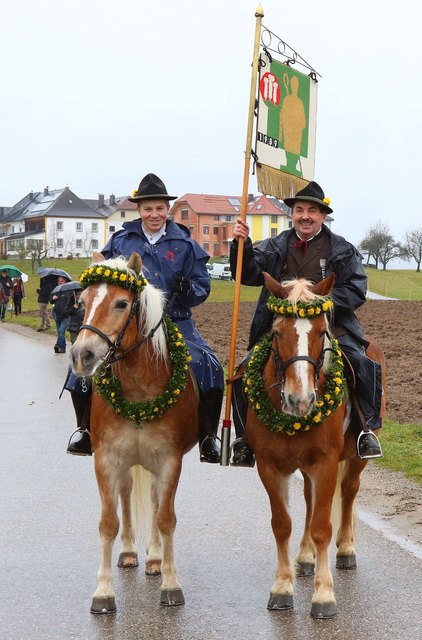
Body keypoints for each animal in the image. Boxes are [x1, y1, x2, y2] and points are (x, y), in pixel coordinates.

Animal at [71, 251, 199, 616]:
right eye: (82, 301)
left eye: (121, 303)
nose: (81, 355)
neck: (140, 389)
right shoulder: (106, 460)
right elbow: (108, 522)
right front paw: (103, 593)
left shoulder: (169, 461)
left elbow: (166, 517)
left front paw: (171, 584)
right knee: (127, 495)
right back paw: (129, 552)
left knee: (155, 500)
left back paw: (155, 558)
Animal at [244, 272, 386, 620]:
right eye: (277, 332)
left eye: (322, 332)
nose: (301, 400)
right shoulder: (270, 466)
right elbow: (282, 525)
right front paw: (282, 587)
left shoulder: (325, 464)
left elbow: (323, 525)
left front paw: (323, 595)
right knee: (309, 502)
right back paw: (306, 557)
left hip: (355, 460)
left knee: (348, 492)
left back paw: (346, 548)